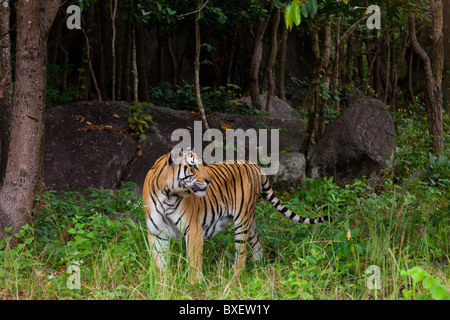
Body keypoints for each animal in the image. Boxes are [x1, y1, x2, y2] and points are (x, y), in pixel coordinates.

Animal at [142, 148, 328, 282]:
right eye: (193, 166)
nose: (209, 181)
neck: (168, 195)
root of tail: (252, 162)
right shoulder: (156, 234)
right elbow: (159, 264)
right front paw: (163, 284)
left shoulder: (193, 230)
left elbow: (194, 262)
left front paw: (193, 285)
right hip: (250, 222)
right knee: (258, 244)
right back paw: (258, 268)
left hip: (242, 220)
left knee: (242, 253)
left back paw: (234, 277)